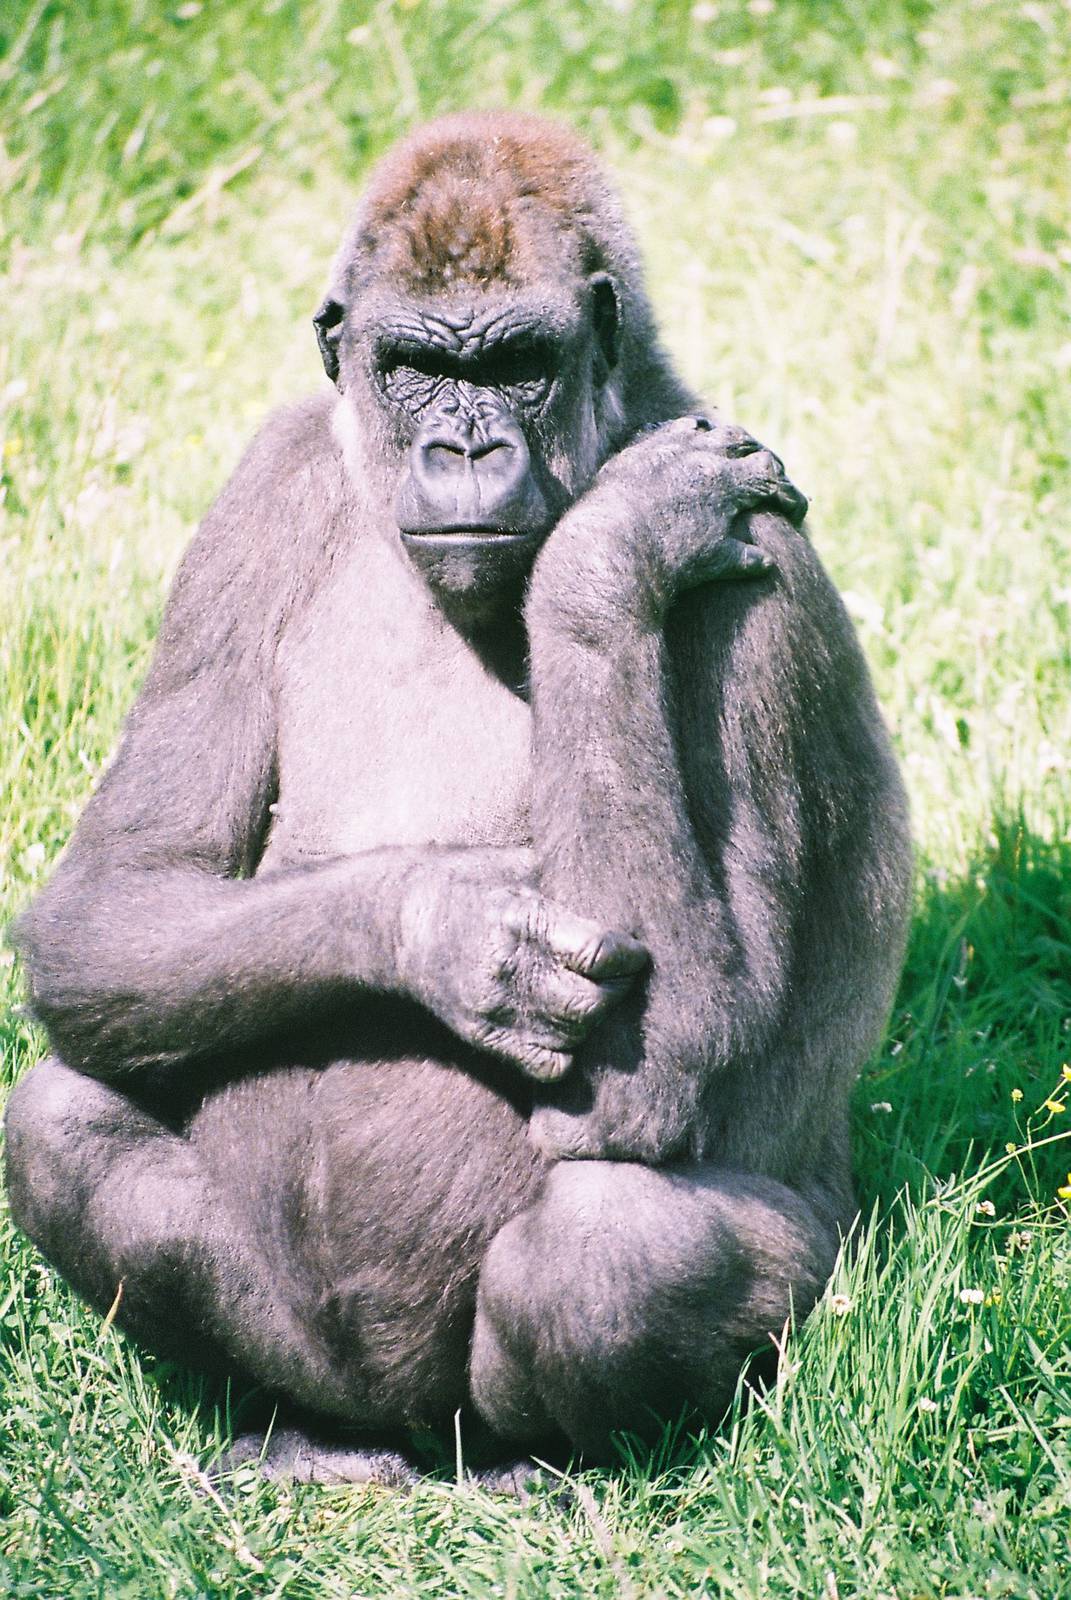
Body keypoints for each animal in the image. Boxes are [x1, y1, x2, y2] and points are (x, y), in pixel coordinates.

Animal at [3, 112, 912, 1477]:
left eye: (520, 365)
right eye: (416, 365)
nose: (465, 448)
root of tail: (420, 1437)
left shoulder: (765, 570)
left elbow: (680, 1052)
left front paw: (604, 556)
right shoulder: (261, 488)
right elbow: (113, 899)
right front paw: (443, 933)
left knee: (611, 1244)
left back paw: (556, 1465)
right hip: (332, 1367)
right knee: (59, 1119)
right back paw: (297, 1425)